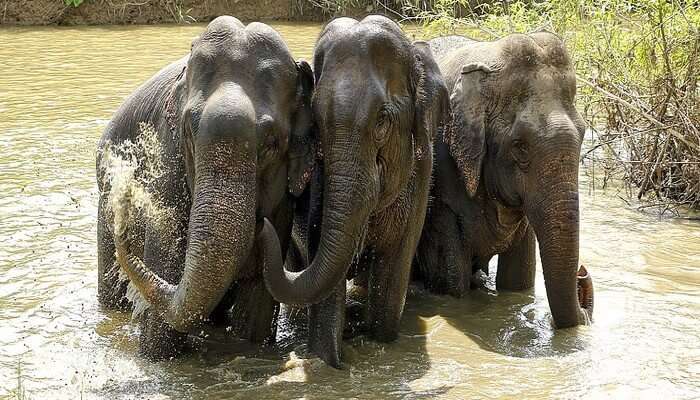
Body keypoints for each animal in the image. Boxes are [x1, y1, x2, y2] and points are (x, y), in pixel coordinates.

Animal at [262, 15, 448, 368]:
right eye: (316, 121)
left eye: (382, 121)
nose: (341, 363)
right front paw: (326, 357)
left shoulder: (423, 171)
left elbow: (394, 273)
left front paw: (376, 339)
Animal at [416, 33, 596, 328]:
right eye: (520, 147)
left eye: (582, 135)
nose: (582, 272)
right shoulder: (441, 194)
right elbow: (453, 285)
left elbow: (518, 283)